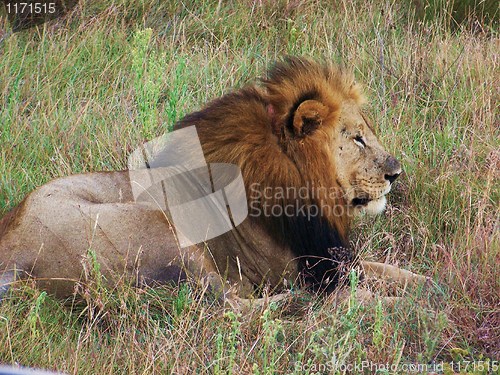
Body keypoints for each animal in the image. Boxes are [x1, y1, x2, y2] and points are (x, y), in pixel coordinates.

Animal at [0, 56, 426, 308]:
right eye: (357, 138)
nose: (396, 173)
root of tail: (11, 251)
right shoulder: (302, 268)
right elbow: (363, 285)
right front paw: (402, 304)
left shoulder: (329, 257)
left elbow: (389, 270)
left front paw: (429, 285)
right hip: (164, 229)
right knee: (233, 307)